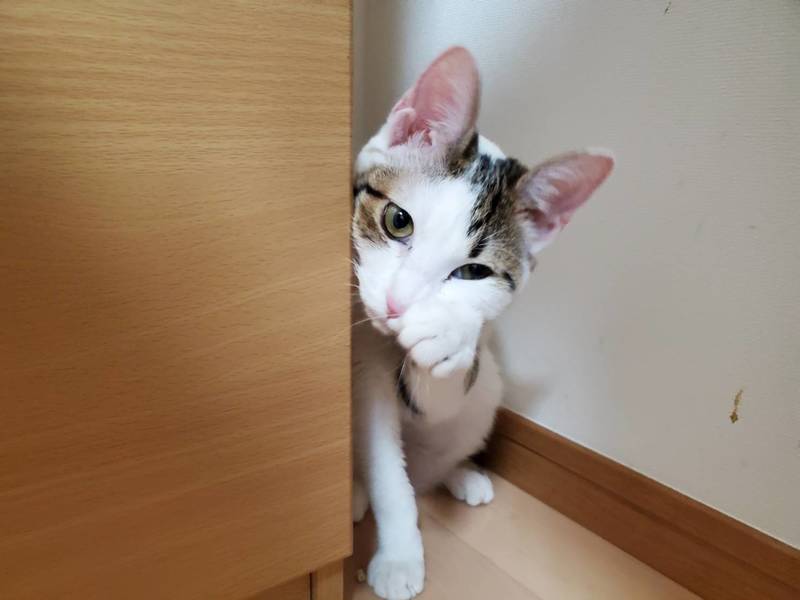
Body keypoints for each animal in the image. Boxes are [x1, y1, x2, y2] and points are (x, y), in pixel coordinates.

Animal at [351, 46, 613, 600]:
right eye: (398, 221)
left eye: (473, 272)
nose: (397, 306)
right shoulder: (360, 368)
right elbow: (386, 468)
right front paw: (401, 555)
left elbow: (440, 388)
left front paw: (448, 335)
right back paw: (356, 494)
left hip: (487, 392)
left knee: (444, 445)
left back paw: (460, 474)